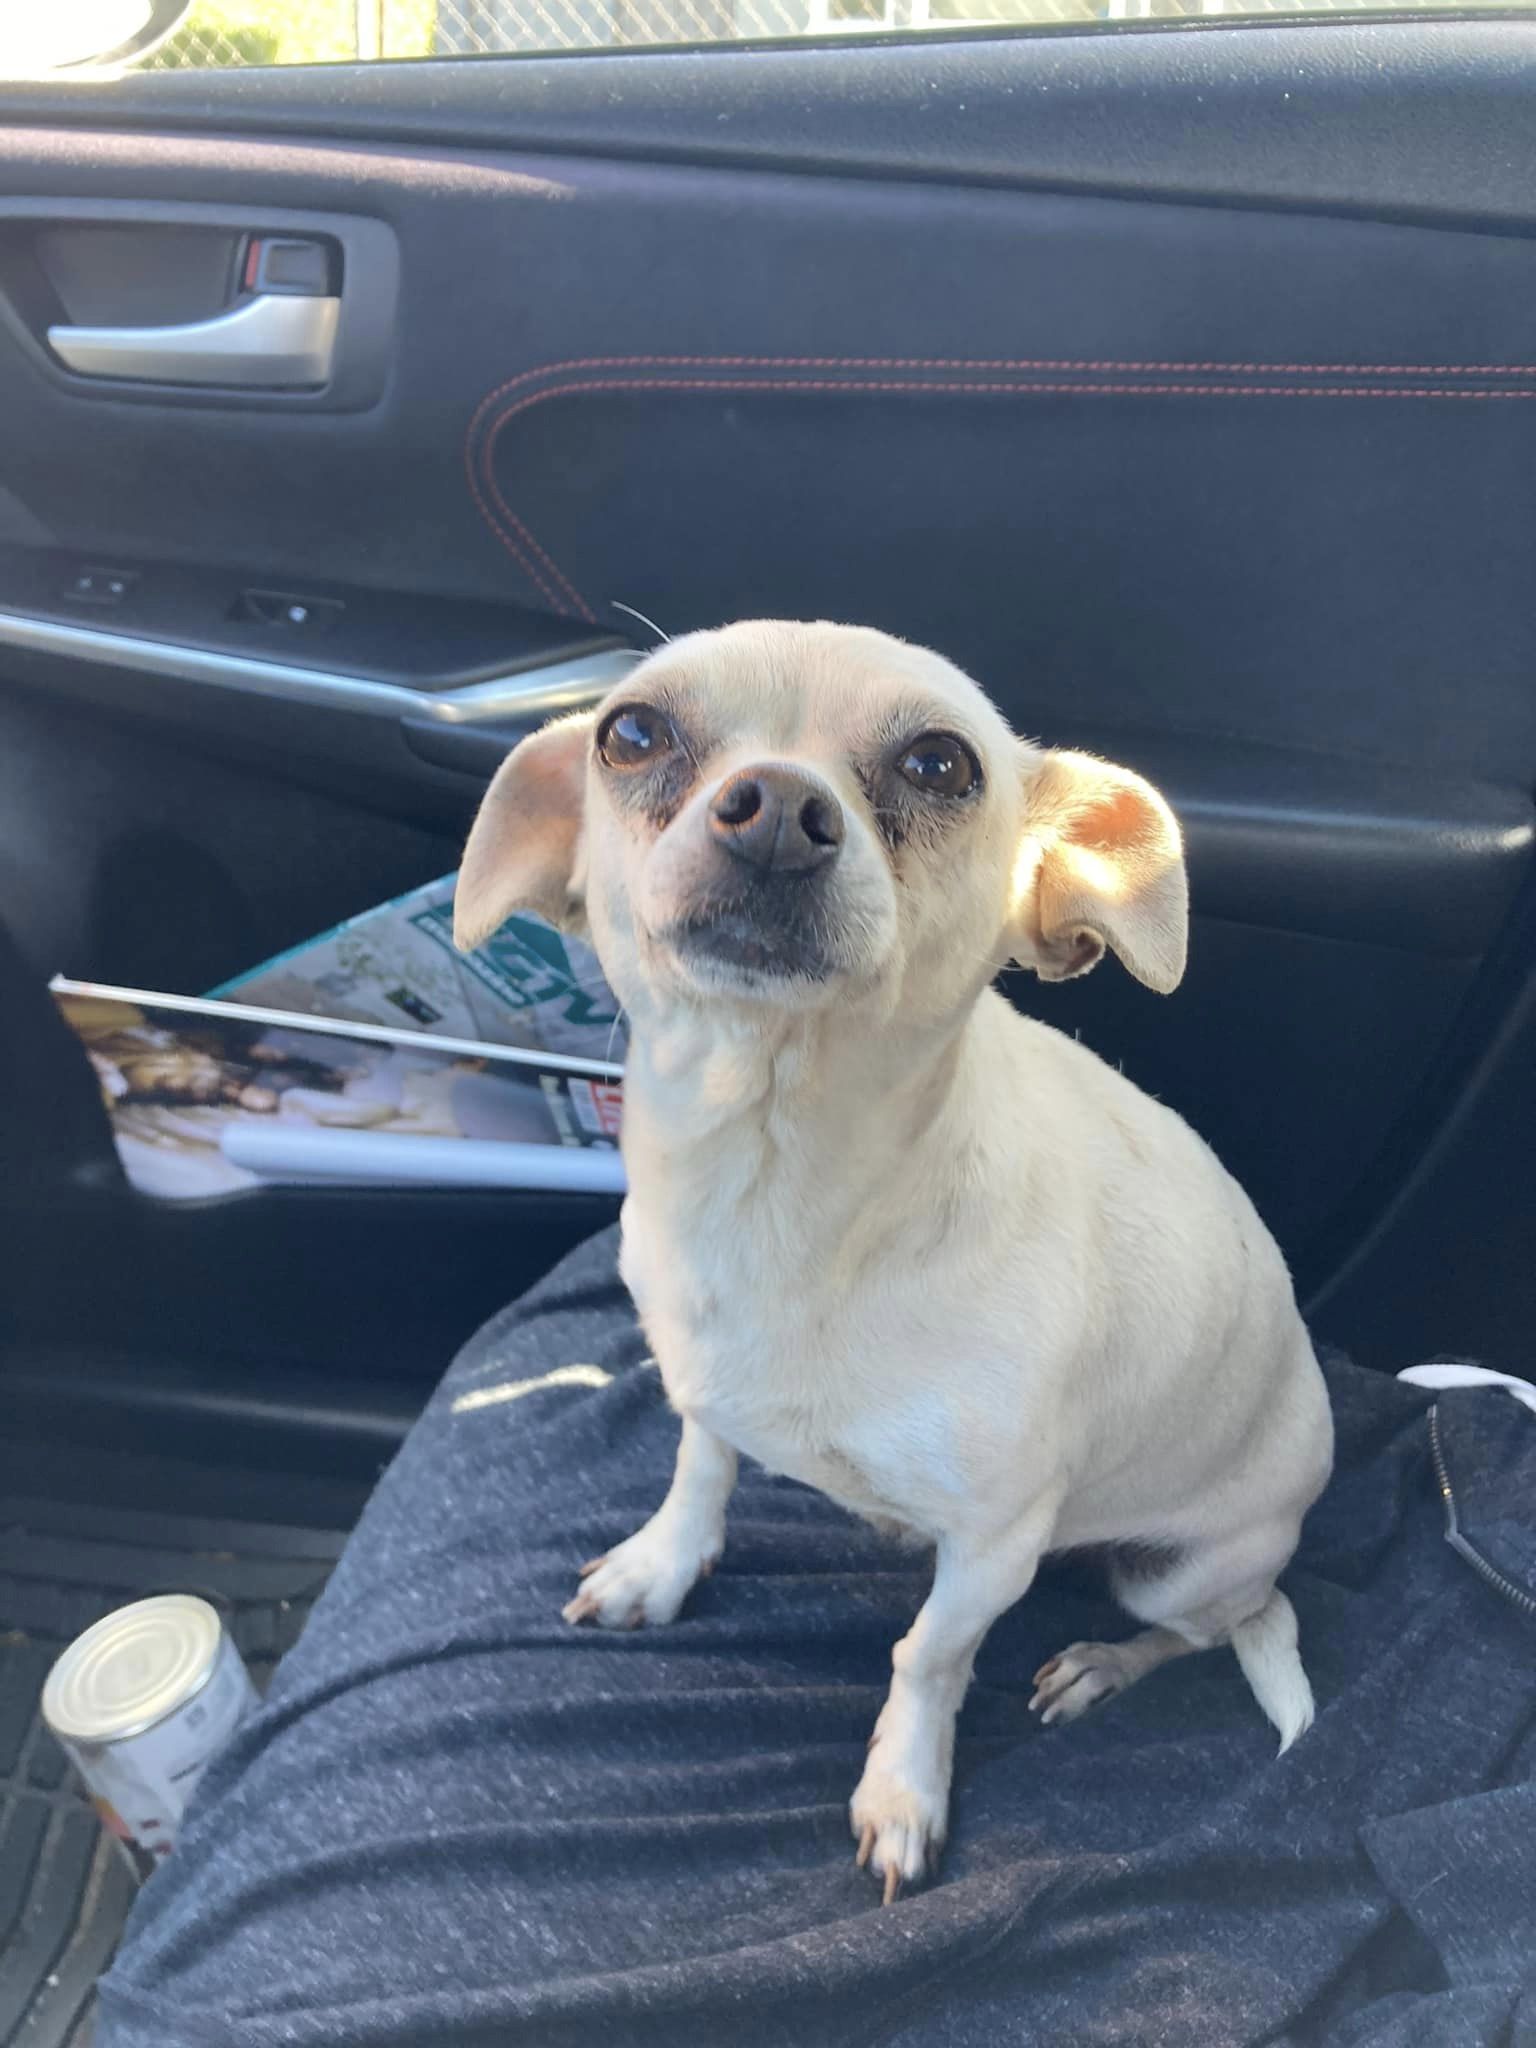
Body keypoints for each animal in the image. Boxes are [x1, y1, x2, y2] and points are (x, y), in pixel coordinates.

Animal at [456, 618, 1335, 1900]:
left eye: (939, 764)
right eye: (632, 734)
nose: (776, 806)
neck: (774, 1186)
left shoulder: (995, 1550)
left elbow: (926, 1654)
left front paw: (904, 1787)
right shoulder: (702, 1386)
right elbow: (700, 1468)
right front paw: (661, 1564)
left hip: (1182, 1565)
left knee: (1210, 1625)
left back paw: (1101, 1663)